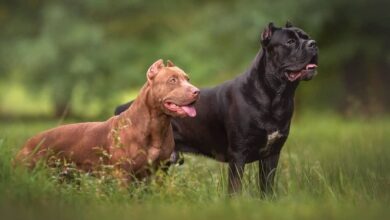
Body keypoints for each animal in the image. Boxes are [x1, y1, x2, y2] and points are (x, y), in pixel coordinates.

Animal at [14, 58, 198, 184]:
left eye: (188, 79)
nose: (196, 91)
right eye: (172, 80)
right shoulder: (123, 175)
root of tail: (26, 144)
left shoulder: (158, 173)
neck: (157, 125)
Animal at [114, 21, 318, 194]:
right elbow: (235, 189)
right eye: (290, 42)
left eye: (306, 36)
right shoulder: (238, 155)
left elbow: (267, 187)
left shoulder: (272, 154)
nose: (313, 44)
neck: (276, 96)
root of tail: (123, 107)